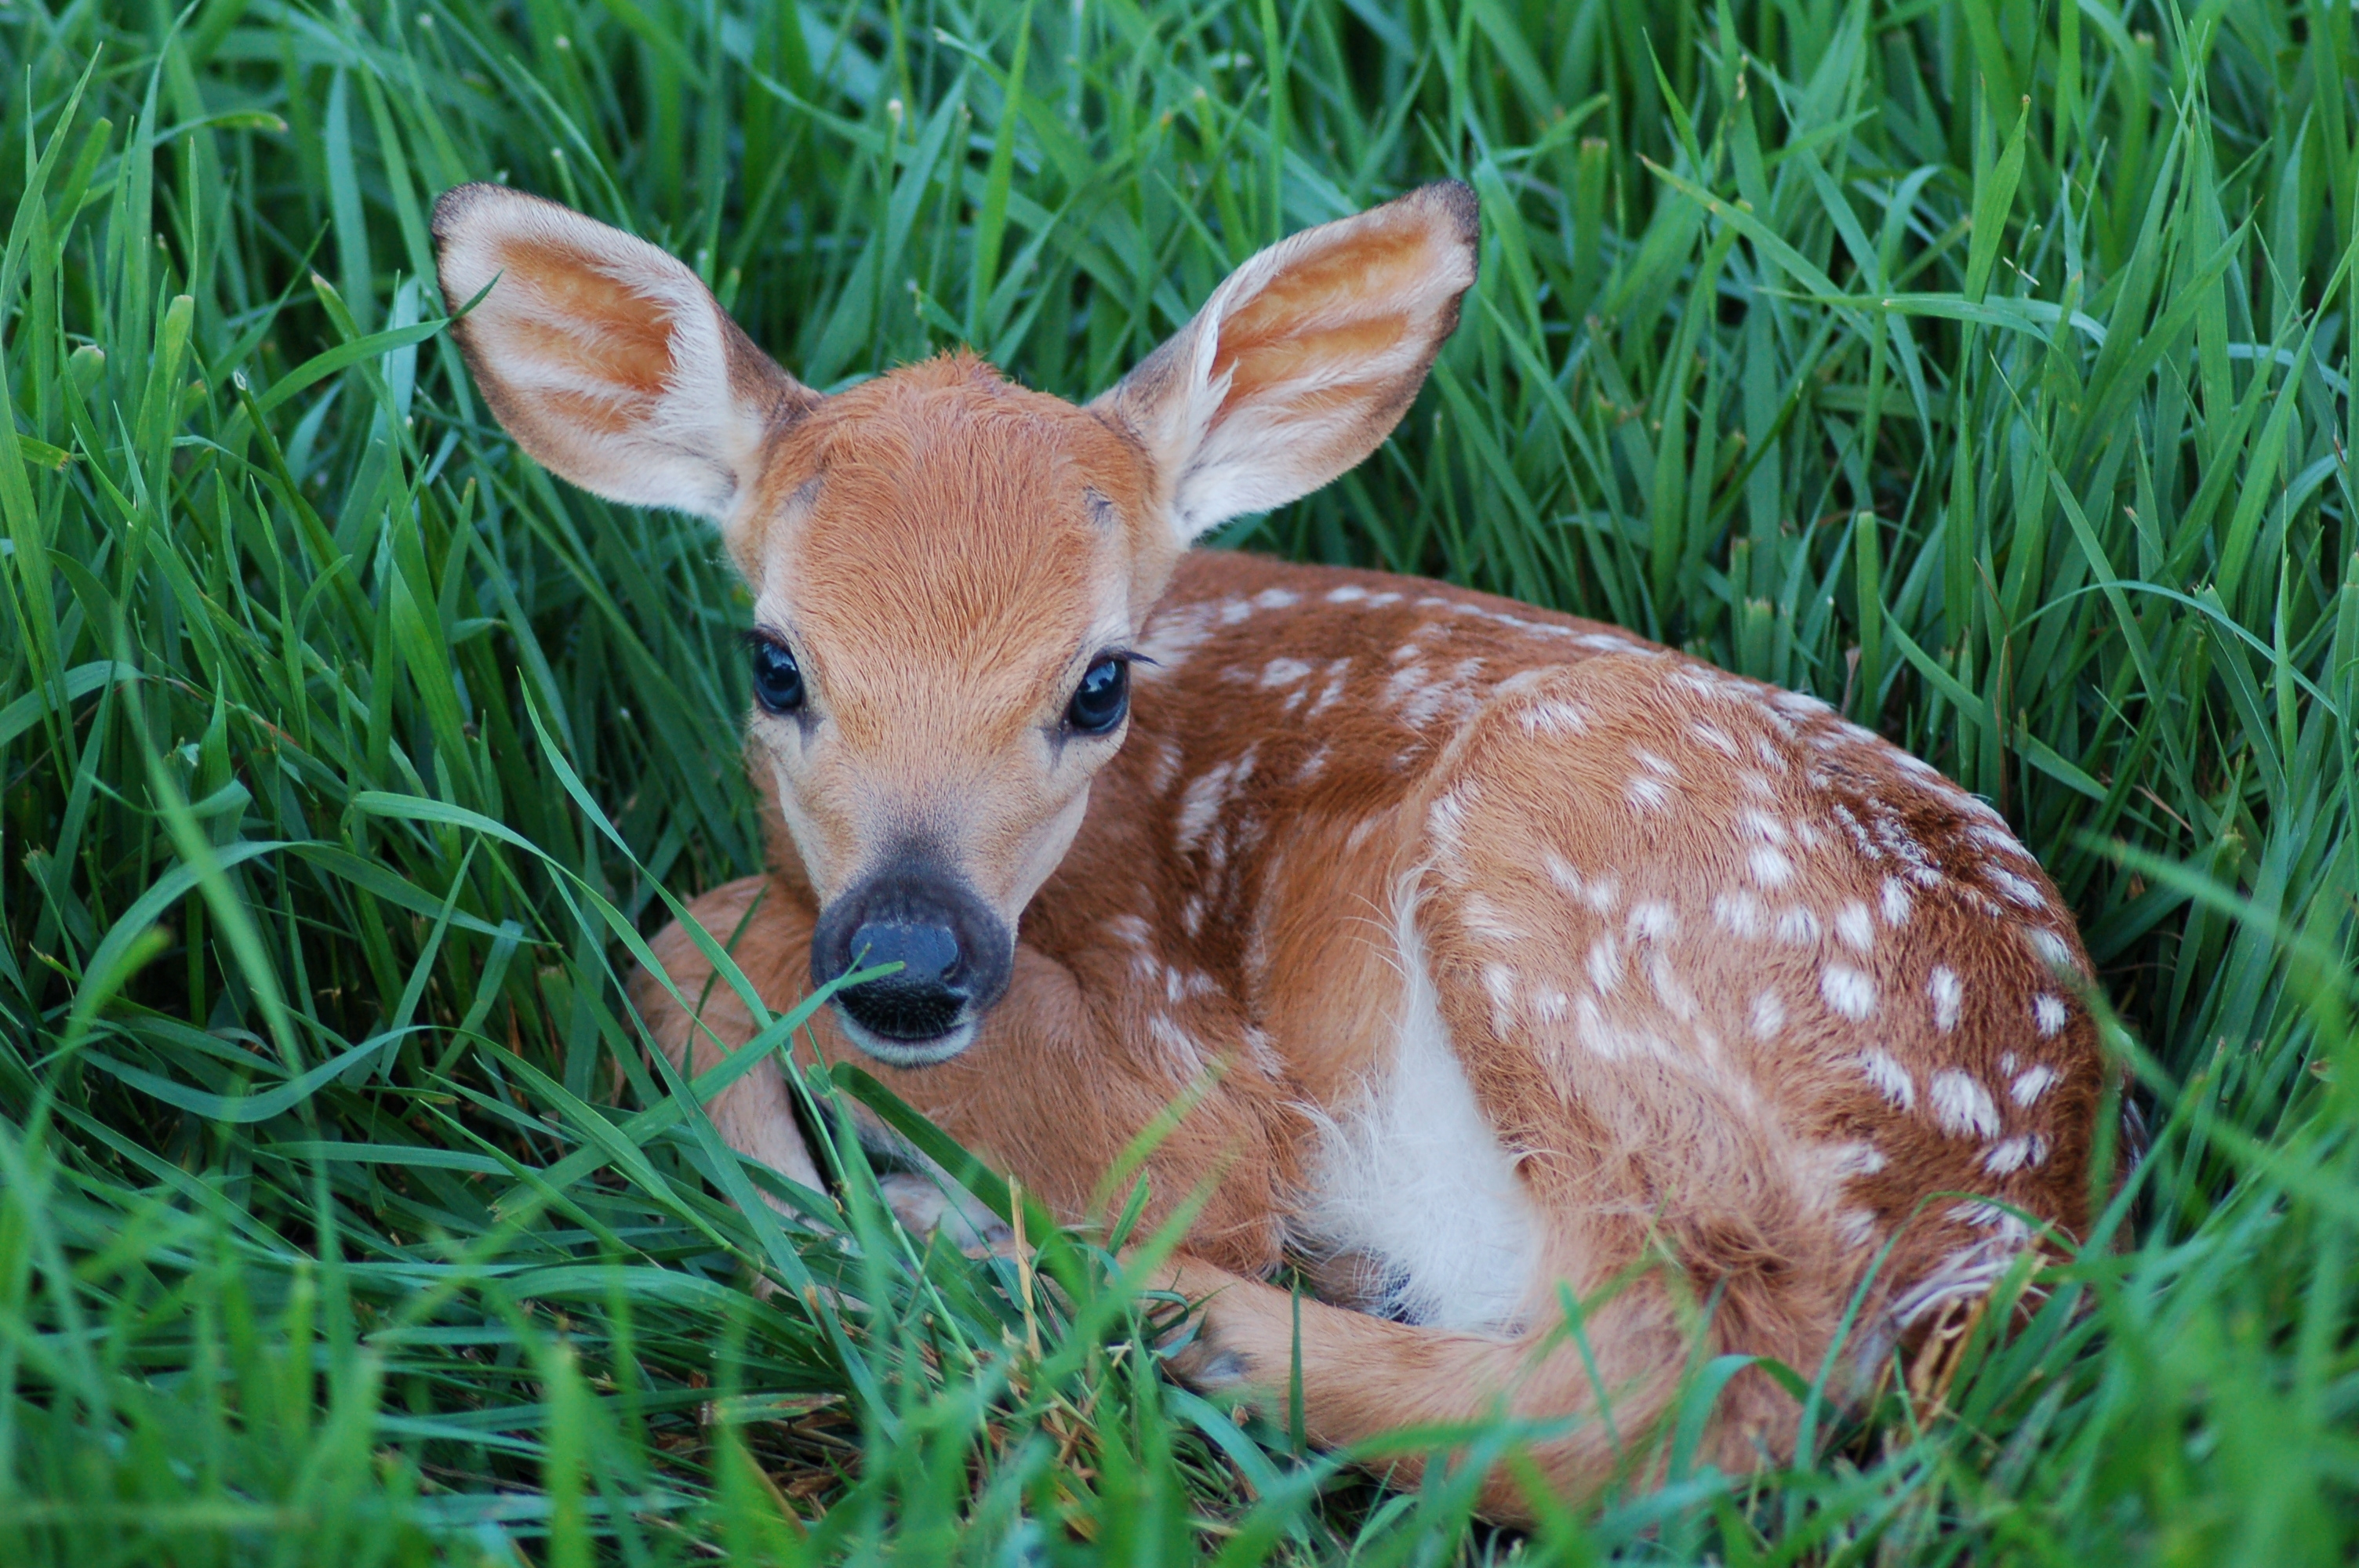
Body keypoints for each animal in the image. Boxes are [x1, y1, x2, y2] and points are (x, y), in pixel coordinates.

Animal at [434, 176, 2114, 1508]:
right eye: (774, 663)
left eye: (1099, 682)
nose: (908, 963)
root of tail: (2019, 1209)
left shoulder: (1195, 1072)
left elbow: (702, 931)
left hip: (1570, 857)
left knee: (1676, 1389)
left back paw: (1089, 1292)